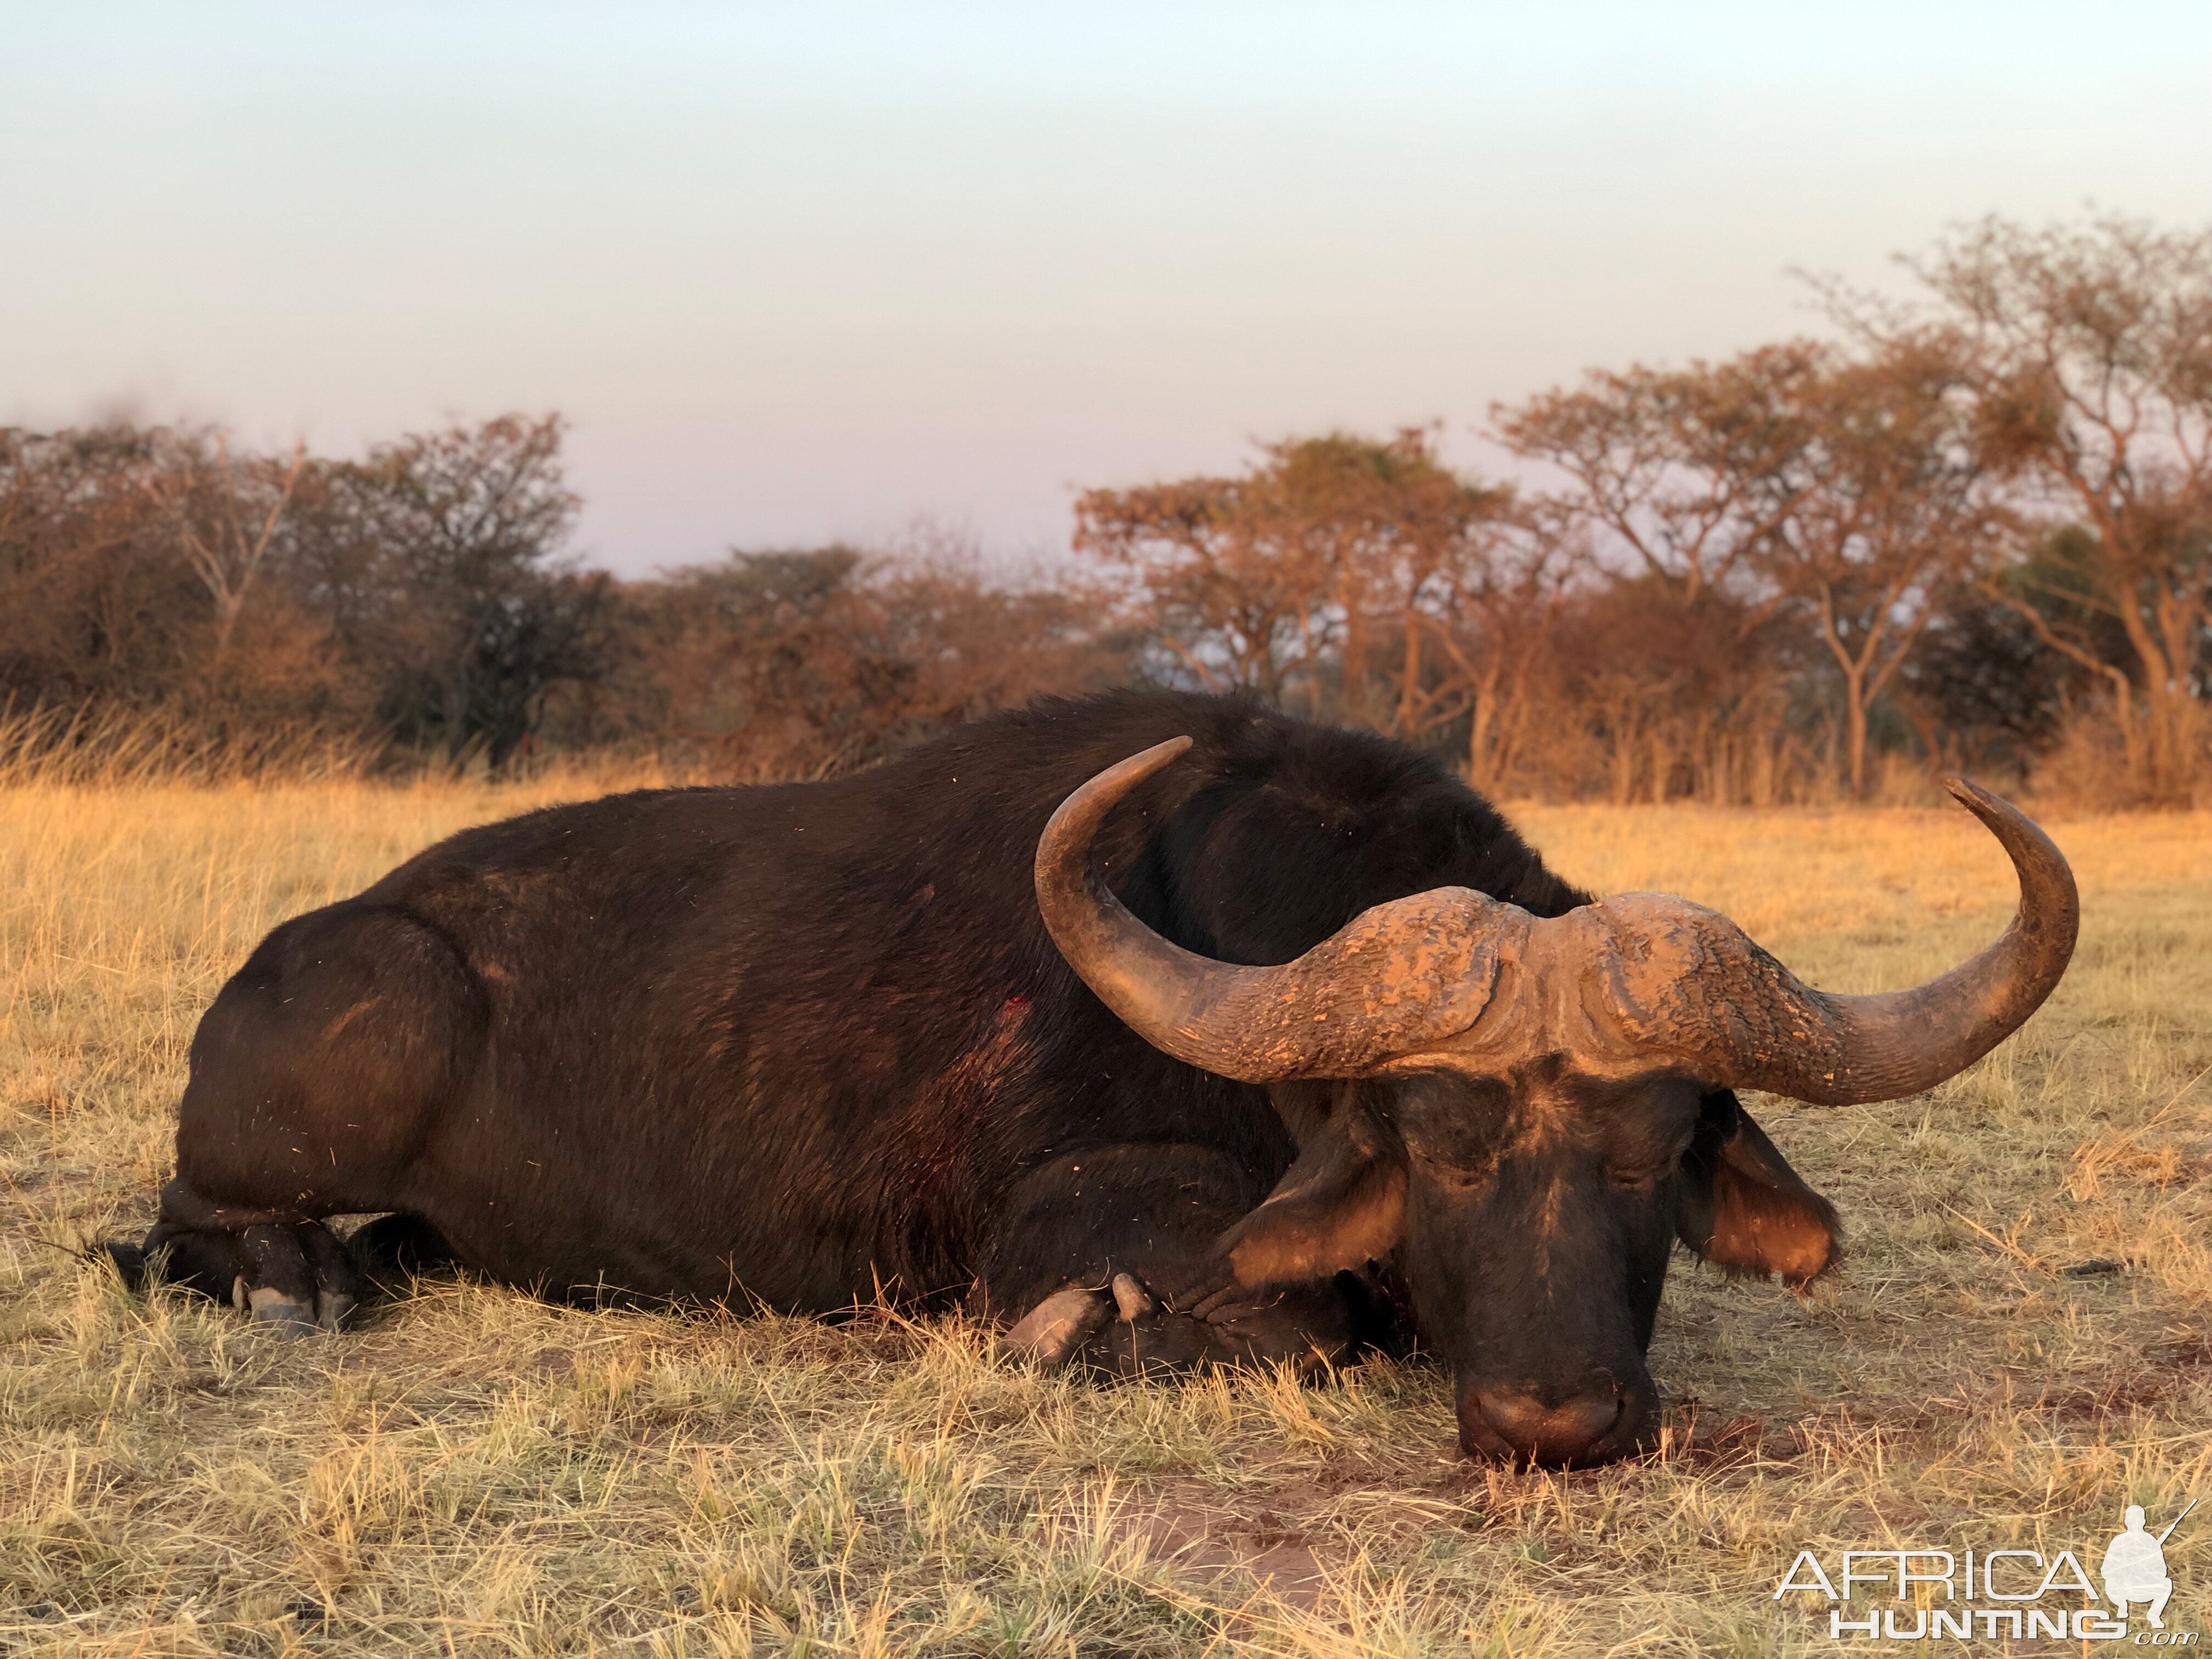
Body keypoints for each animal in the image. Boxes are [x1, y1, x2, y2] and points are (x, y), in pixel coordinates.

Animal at [108, 690, 2070, 1469]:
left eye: (1659, 1152)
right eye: (1431, 1142)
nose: (1556, 1423)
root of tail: (331, 938)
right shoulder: (1069, 1216)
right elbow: (1244, 1310)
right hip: (322, 1082)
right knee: (190, 1223)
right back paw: (292, 1279)